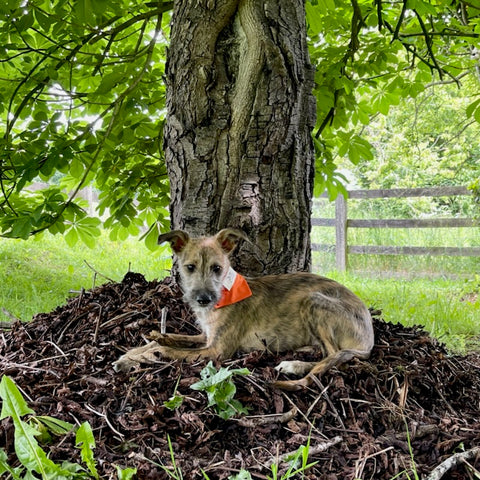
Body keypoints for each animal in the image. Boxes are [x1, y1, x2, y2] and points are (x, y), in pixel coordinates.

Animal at [113, 229, 376, 390]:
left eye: (217, 268)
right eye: (190, 267)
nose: (203, 299)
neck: (223, 296)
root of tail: (369, 338)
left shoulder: (217, 351)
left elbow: (164, 348)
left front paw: (142, 356)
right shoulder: (205, 335)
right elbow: (163, 338)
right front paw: (130, 354)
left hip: (314, 301)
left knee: (334, 356)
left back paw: (294, 365)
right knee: (325, 353)